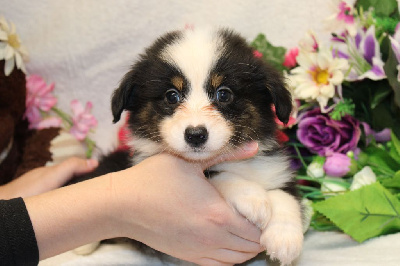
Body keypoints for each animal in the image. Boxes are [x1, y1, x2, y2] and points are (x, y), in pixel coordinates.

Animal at [73, 28, 304, 264]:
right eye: (171, 96)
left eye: (224, 94)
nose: (195, 135)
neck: (237, 161)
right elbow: (218, 173)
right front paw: (253, 198)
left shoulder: (275, 168)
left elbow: (285, 195)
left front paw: (285, 238)